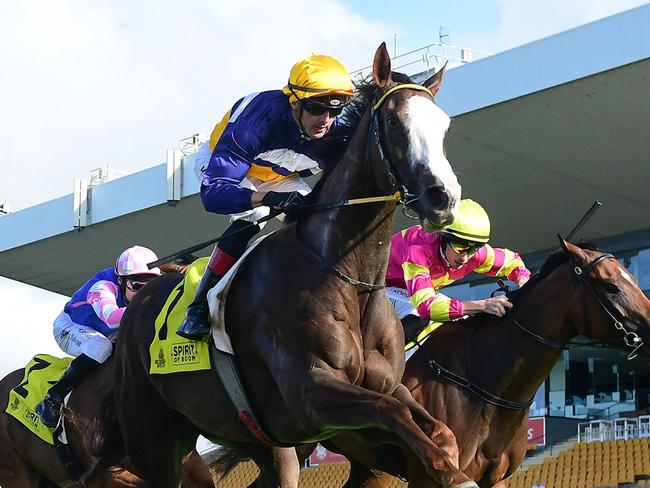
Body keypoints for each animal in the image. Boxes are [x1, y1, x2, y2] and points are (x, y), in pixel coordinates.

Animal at [93, 43, 480, 488]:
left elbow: (437, 428)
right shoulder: (311, 393)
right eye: (394, 122)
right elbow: (393, 412)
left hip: (256, 437)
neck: (348, 279)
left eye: (444, 128)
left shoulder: (386, 385)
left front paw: (450, 464)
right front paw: (454, 475)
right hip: (155, 442)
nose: (443, 198)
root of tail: (134, 309)